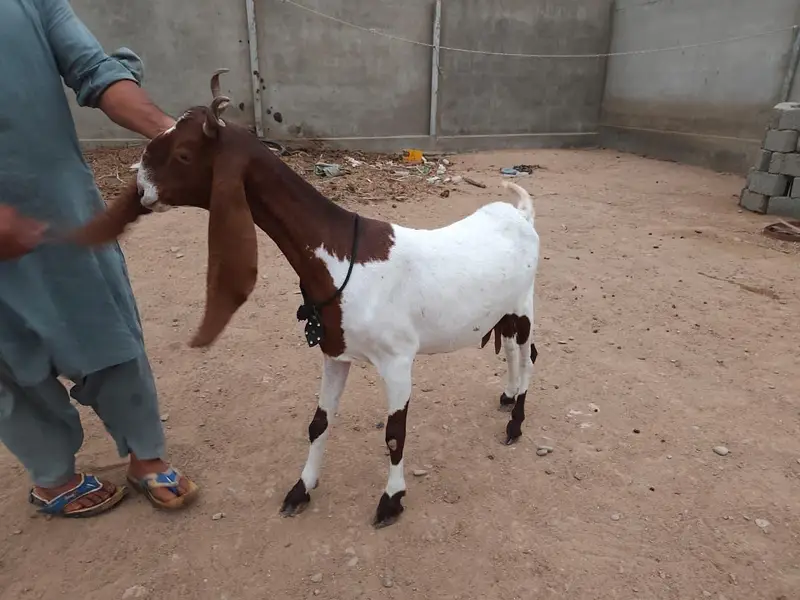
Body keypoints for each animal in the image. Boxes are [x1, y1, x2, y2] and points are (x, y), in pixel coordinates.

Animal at [69, 69, 540, 528]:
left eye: (184, 154)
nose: (142, 190)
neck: (342, 255)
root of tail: (519, 213)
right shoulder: (335, 352)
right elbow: (318, 423)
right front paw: (301, 489)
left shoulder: (397, 360)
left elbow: (394, 435)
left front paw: (391, 501)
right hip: (503, 308)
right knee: (511, 349)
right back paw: (507, 396)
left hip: (524, 303)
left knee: (527, 351)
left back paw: (516, 423)